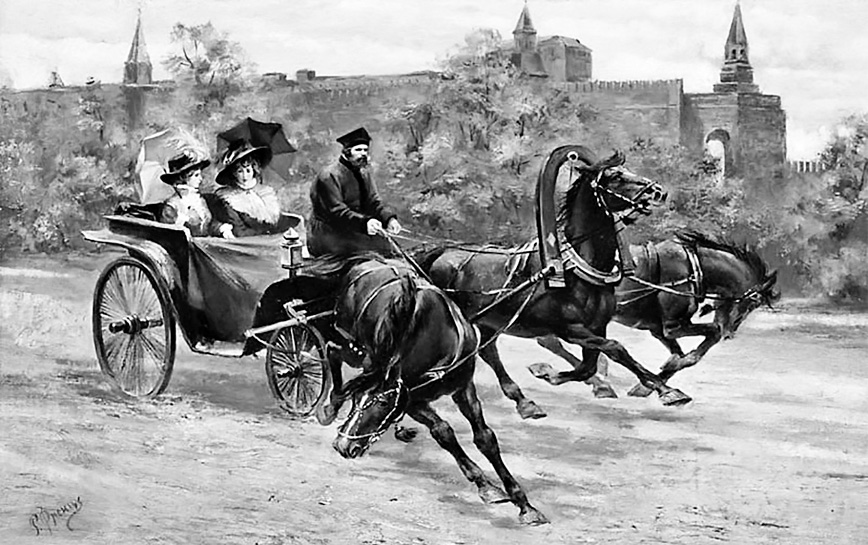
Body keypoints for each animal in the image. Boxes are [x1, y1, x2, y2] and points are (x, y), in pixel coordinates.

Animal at [326, 255, 549, 526]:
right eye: (356, 399)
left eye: (382, 402)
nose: (342, 446)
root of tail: (369, 262)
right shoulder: (412, 399)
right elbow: (443, 432)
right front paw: (485, 484)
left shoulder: (461, 387)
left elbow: (485, 438)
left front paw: (523, 503)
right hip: (353, 347)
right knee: (331, 349)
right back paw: (330, 405)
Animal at [414, 145, 690, 420]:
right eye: (615, 177)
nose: (658, 191)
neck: (576, 270)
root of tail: (442, 253)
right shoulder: (569, 328)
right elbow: (616, 348)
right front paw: (667, 390)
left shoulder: (597, 327)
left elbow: (589, 366)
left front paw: (550, 374)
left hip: (490, 321)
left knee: (487, 352)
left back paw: (524, 402)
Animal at [533, 230, 780, 397]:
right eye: (752, 303)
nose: (731, 332)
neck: (693, 267)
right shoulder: (673, 326)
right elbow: (708, 336)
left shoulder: (657, 329)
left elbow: (680, 355)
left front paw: (654, 381)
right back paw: (598, 381)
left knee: (552, 342)